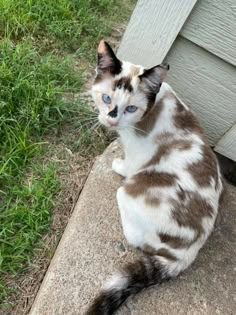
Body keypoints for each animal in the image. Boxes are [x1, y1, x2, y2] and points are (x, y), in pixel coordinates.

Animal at [85, 40, 222, 315]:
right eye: (106, 98)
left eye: (131, 108)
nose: (111, 120)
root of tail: (189, 252)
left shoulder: (138, 152)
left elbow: (128, 163)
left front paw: (119, 164)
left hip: (128, 194)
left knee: (134, 234)